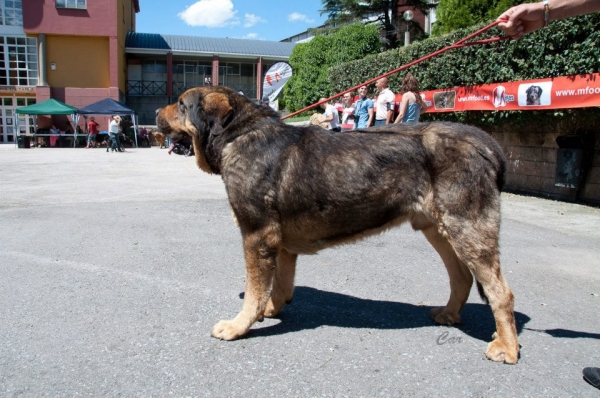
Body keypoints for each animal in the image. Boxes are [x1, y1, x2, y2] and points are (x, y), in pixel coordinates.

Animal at [156, 84, 520, 364]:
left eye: (182, 105)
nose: (157, 112)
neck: (240, 133)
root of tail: (486, 143)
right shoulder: (280, 243)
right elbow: (280, 284)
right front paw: (272, 309)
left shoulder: (257, 234)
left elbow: (256, 290)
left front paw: (239, 325)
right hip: (438, 229)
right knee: (462, 277)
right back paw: (449, 314)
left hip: (469, 229)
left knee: (501, 292)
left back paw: (507, 347)